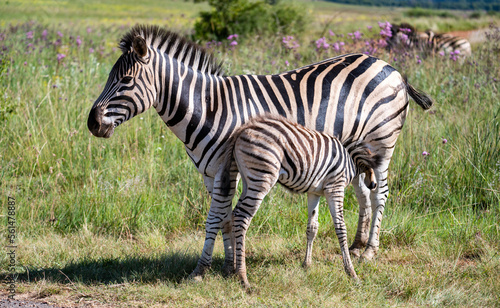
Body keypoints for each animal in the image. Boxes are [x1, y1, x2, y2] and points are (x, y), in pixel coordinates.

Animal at [217, 114, 380, 290]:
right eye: (374, 163)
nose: (374, 185)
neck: (350, 158)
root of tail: (243, 129)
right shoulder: (335, 187)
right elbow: (341, 228)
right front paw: (351, 273)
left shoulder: (314, 192)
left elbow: (312, 227)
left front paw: (306, 265)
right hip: (262, 176)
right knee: (242, 217)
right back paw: (243, 277)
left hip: (249, 179)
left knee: (234, 214)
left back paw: (234, 268)